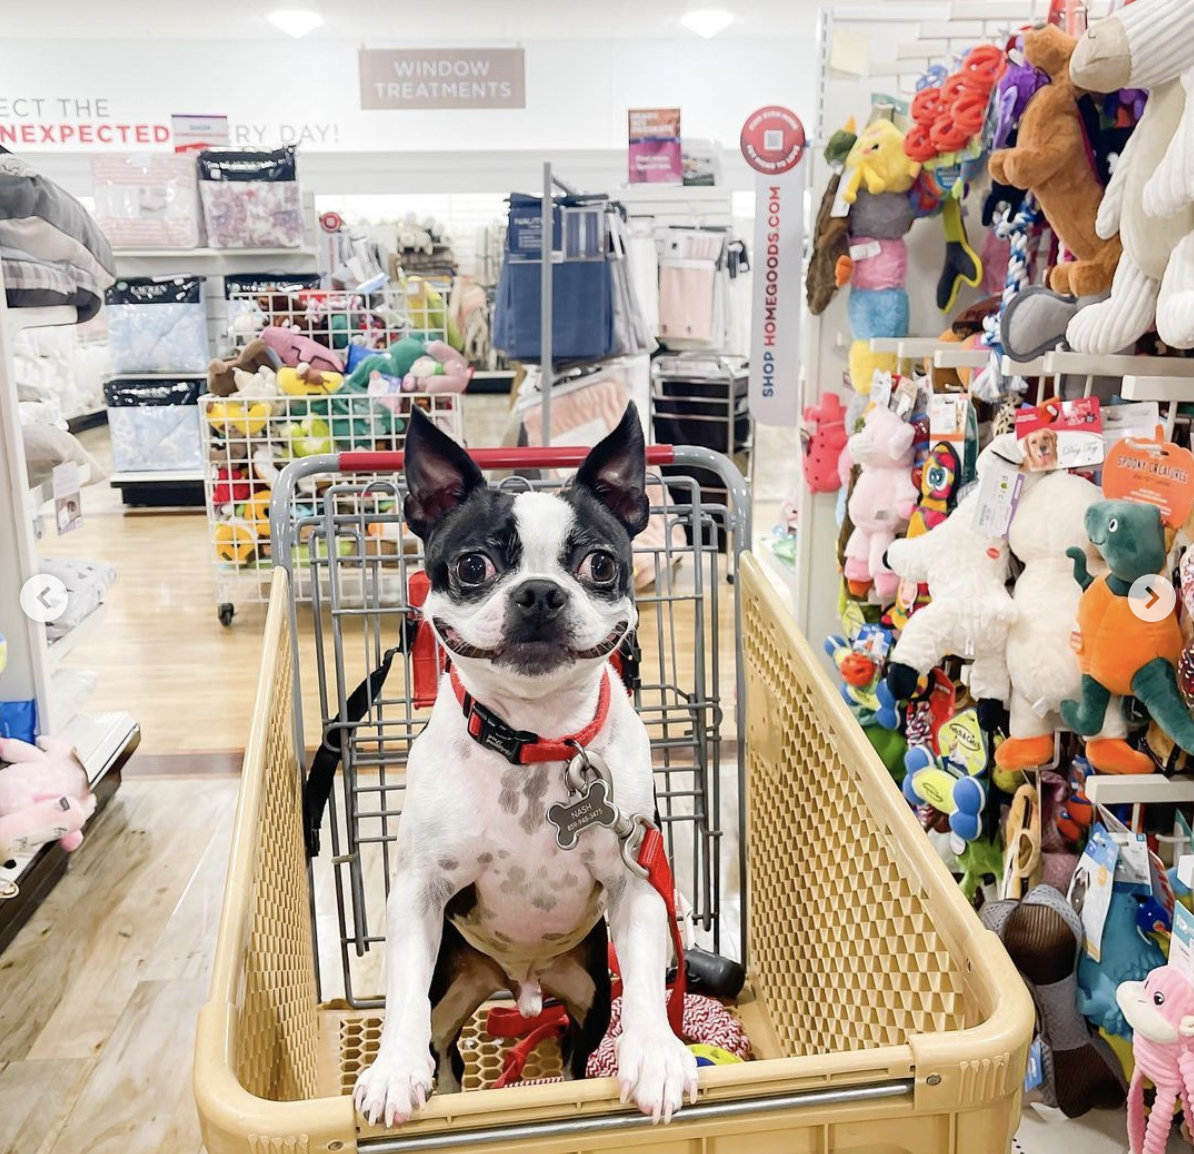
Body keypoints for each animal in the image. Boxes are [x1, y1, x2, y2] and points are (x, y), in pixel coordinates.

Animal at [348, 403, 697, 1127]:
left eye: (599, 563)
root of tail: (521, 982)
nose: (538, 593)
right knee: (444, 1055)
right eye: (473, 565)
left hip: (587, 990)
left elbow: (645, 975)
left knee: (573, 1055)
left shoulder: (635, 881)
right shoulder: (420, 892)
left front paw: (656, 1054)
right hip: (452, 987)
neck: (537, 740)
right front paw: (391, 1070)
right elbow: (400, 994)